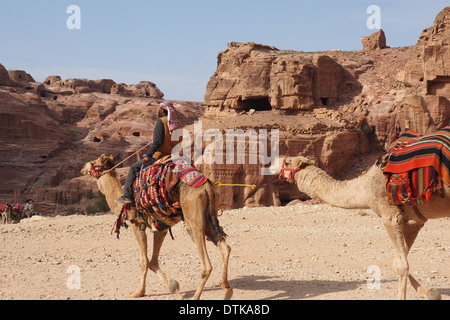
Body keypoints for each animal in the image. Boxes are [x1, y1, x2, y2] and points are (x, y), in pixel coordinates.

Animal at [81, 155, 234, 300]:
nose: (83, 168)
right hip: (209, 217)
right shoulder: (161, 226)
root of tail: (207, 187)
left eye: (93, 163)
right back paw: (226, 289)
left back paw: (197, 296)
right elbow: (153, 262)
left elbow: (144, 261)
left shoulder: (138, 223)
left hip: (193, 217)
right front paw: (171, 286)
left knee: (206, 263)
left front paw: (138, 292)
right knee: (225, 247)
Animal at [274, 155, 446, 300]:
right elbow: (399, 260)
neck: (364, 187)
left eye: (287, 162)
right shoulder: (413, 221)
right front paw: (430, 293)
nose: (274, 161)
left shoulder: (390, 215)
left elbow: (401, 265)